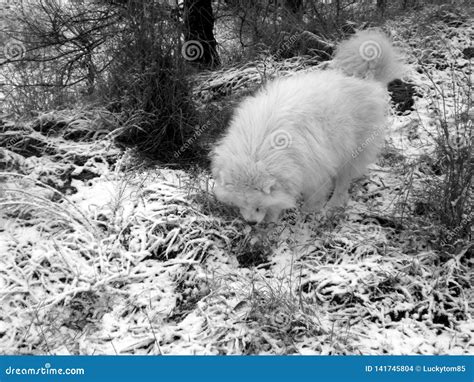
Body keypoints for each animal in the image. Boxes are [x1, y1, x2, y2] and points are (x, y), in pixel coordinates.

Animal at [211, 32, 404, 227]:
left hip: (351, 151)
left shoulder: (313, 169)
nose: (251, 223)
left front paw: (307, 215)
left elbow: (312, 198)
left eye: (258, 206)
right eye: (241, 204)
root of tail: (367, 80)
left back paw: (333, 205)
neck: (258, 145)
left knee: (343, 183)